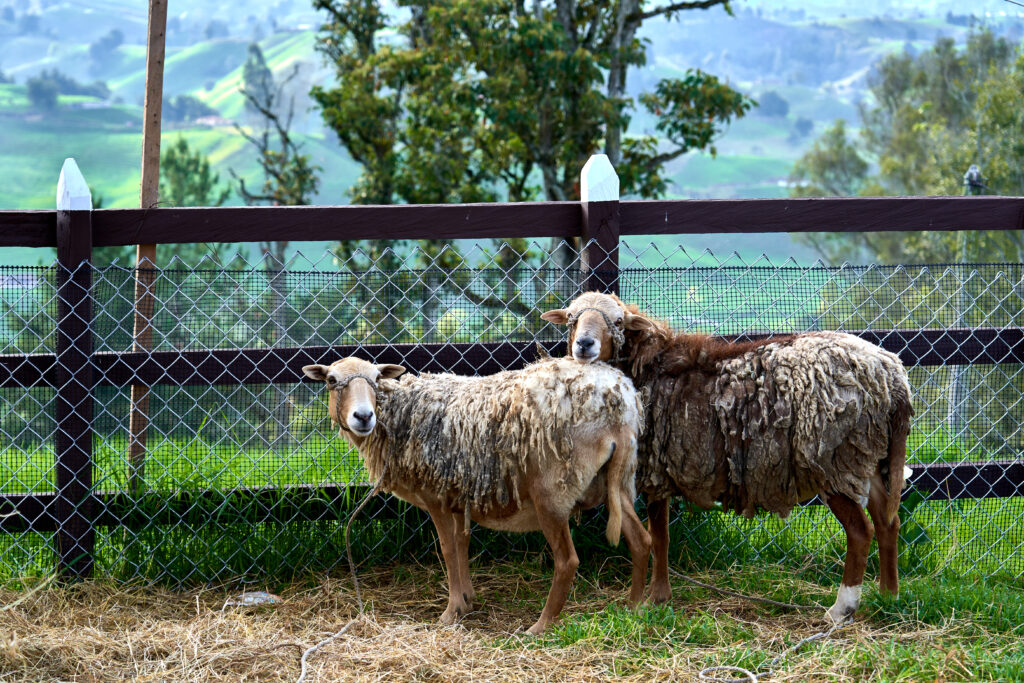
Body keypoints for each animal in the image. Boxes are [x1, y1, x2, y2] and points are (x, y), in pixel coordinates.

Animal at [303, 356, 651, 638]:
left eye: (376, 378)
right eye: (332, 380)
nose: (363, 417)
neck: (400, 417)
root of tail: (620, 403)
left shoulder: (436, 497)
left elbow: (446, 549)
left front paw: (450, 612)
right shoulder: (459, 498)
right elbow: (461, 545)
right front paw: (467, 600)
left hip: (552, 491)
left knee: (568, 560)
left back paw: (541, 626)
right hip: (617, 480)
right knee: (640, 540)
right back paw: (632, 608)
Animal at [544, 290, 913, 622]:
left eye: (618, 321)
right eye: (572, 319)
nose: (584, 345)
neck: (648, 368)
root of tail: (892, 375)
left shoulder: (656, 470)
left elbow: (660, 536)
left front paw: (655, 598)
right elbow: (662, 537)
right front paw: (661, 597)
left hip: (833, 459)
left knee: (861, 531)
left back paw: (842, 609)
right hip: (866, 453)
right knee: (887, 521)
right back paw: (888, 597)